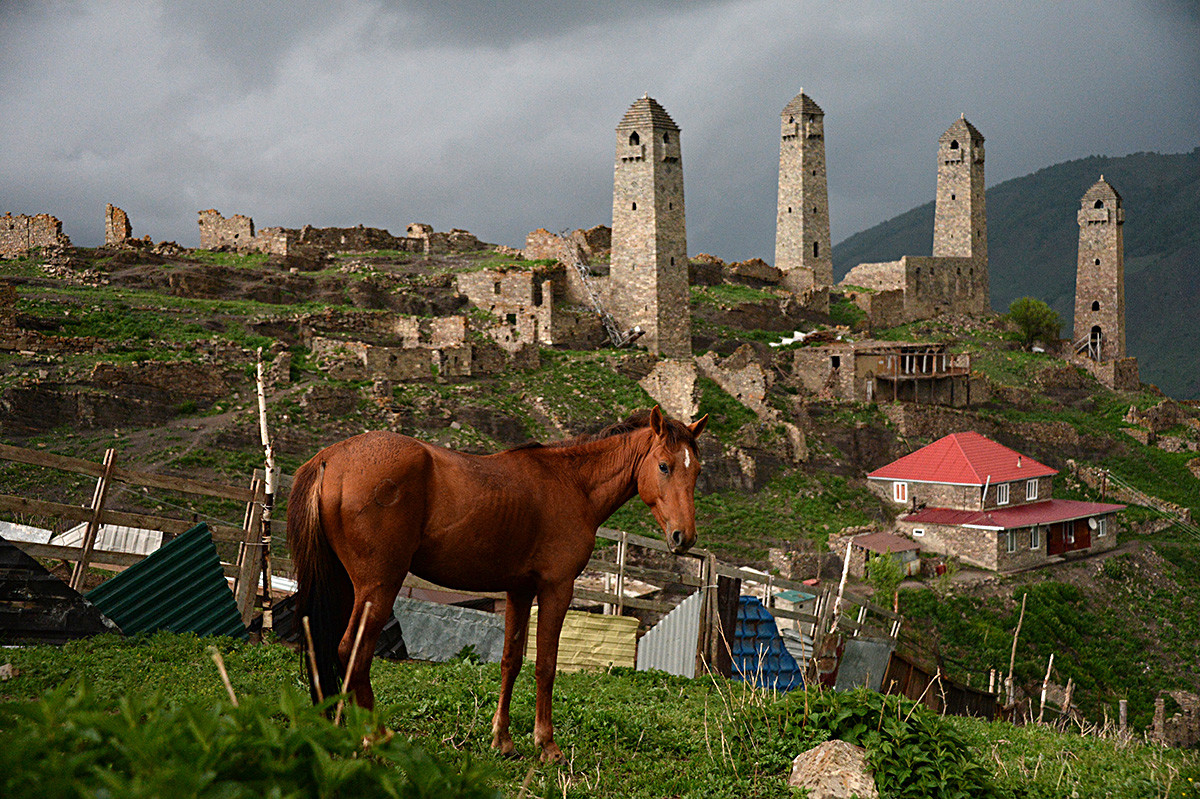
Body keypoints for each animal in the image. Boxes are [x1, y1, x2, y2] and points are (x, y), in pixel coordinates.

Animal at [286, 405, 705, 758]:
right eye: (664, 466)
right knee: (351, 652)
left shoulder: (519, 591)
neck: (572, 483)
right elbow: (545, 664)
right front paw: (546, 744)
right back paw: (375, 735)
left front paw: (502, 739)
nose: (683, 537)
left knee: (326, 647)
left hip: (345, 584)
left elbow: (511, 661)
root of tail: (330, 458)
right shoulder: (556, 588)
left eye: (697, 470)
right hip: (378, 586)